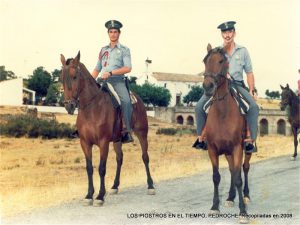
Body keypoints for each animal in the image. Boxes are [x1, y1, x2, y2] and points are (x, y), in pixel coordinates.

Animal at [60, 51, 156, 206]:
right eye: (61, 78)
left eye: (74, 76)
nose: (69, 105)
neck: (92, 108)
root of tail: (138, 99)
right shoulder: (85, 143)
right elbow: (89, 168)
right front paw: (89, 195)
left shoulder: (103, 142)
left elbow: (102, 168)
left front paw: (100, 196)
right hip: (117, 140)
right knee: (119, 159)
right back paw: (115, 186)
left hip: (142, 134)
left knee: (145, 157)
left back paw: (151, 186)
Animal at [203, 44, 252, 223]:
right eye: (205, 61)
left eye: (221, 61)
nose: (208, 86)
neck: (222, 112)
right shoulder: (212, 149)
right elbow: (216, 177)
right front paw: (214, 207)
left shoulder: (237, 148)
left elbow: (238, 178)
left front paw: (243, 212)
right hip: (227, 152)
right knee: (232, 170)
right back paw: (231, 197)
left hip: (246, 149)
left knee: (244, 168)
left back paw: (246, 196)